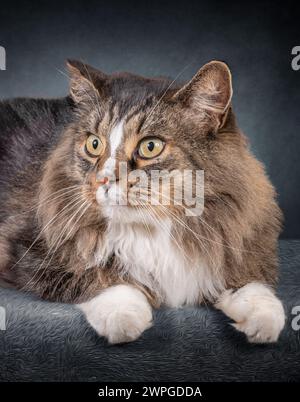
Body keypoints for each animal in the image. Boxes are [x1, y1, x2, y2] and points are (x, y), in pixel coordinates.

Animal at [0, 59, 284, 342]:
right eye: (94, 144)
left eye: (150, 147)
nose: (103, 180)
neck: (150, 229)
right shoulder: (32, 251)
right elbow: (102, 278)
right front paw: (124, 317)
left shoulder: (237, 247)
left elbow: (251, 286)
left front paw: (265, 321)